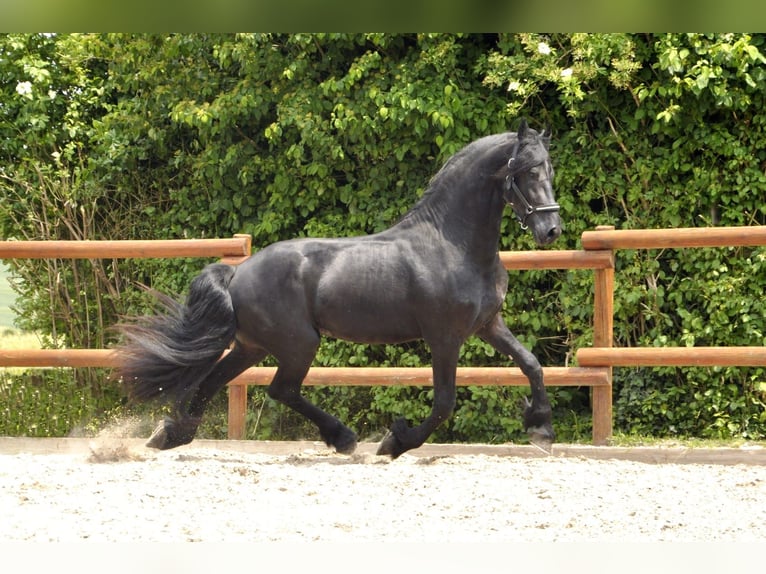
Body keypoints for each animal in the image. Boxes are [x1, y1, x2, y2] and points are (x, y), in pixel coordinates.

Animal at [116, 119, 562, 459]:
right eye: (527, 172)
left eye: (550, 170)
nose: (551, 229)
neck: (452, 244)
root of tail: (238, 272)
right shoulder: (444, 337)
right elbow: (444, 402)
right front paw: (395, 442)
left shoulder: (488, 324)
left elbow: (532, 364)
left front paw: (540, 427)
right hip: (298, 343)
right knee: (281, 389)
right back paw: (343, 438)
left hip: (252, 346)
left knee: (213, 381)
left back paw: (171, 435)